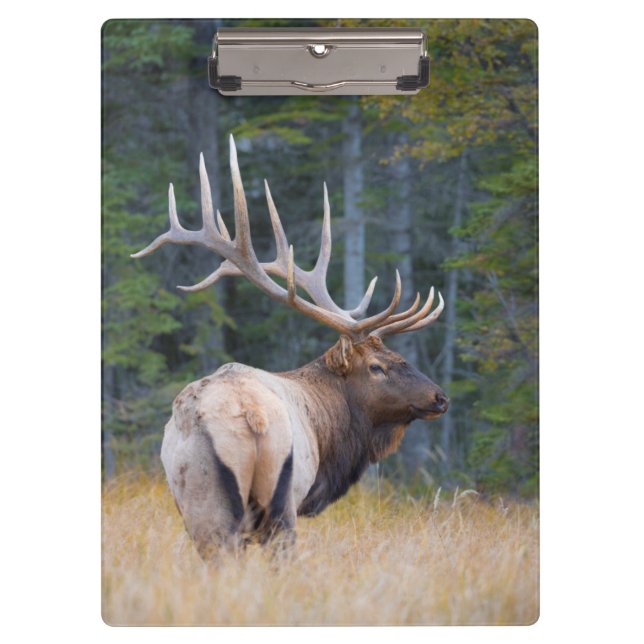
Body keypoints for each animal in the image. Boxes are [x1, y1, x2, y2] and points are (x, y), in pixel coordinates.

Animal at [132, 135, 449, 560]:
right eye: (376, 366)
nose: (439, 397)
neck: (330, 433)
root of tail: (249, 416)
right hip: (276, 499)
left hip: (205, 501)